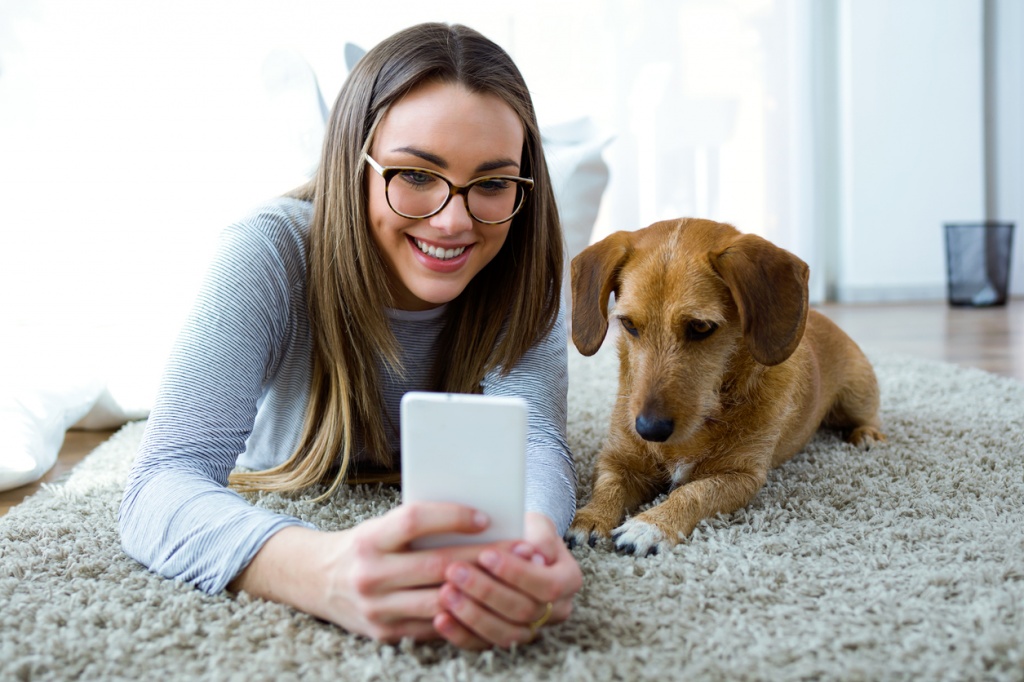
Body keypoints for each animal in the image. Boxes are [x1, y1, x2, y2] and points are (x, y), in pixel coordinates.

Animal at [565, 218, 884, 552]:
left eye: (700, 326)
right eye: (628, 324)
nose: (649, 430)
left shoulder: (740, 477)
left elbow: (692, 492)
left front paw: (652, 524)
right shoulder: (618, 461)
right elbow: (608, 487)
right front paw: (591, 517)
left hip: (856, 396)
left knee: (870, 416)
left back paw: (867, 435)